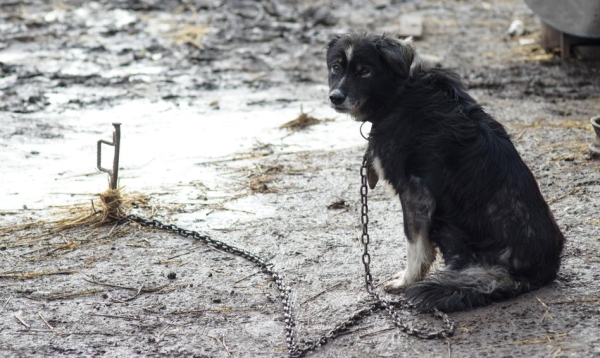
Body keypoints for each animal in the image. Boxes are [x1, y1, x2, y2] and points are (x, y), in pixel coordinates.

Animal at [326, 33, 564, 312]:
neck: (398, 96)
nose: (335, 97)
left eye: (365, 71)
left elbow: (415, 243)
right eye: (336, 67)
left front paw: (407, 280)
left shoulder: (415, 192)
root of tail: (540, 271)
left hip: (449, 223)